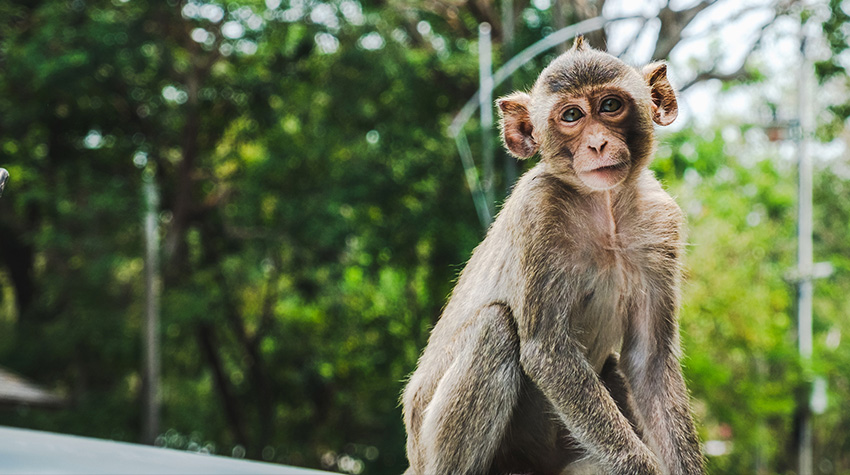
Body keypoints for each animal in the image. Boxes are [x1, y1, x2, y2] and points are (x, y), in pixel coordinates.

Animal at [402, 37, 704, 475]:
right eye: (572, 115)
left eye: (610, 105)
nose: (597, 143)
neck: (605, 210)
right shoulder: (538, 212)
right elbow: (547, 351)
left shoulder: (661, 225)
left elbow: (649, 362)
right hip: (428, 444)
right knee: (495, 327)